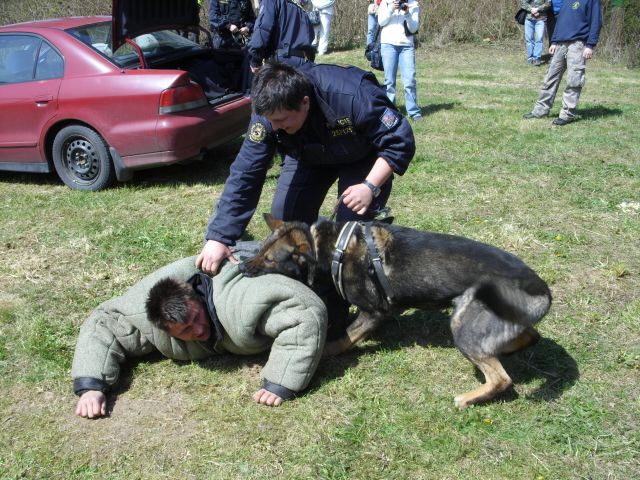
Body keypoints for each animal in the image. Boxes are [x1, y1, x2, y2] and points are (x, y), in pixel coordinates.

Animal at [240, 216, 552, 406]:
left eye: (269, 260)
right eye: (260, 250)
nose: (241, 266)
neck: (332, 247)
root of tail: (541, 290)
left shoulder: (372, 313)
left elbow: (342, 340)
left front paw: (325, 352)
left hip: (463, 327)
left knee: (502, 378)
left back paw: (468, 397)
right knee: (529, 337)